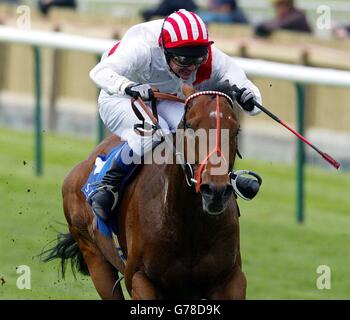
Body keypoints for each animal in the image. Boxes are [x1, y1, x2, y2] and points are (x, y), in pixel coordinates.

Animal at [43, 82, 246, 300]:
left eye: (236, 131)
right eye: (191, 126)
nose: (215, 191)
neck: (188, 226)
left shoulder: (230, 280)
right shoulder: (141, 278)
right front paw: (139, 89)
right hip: (94, 257)